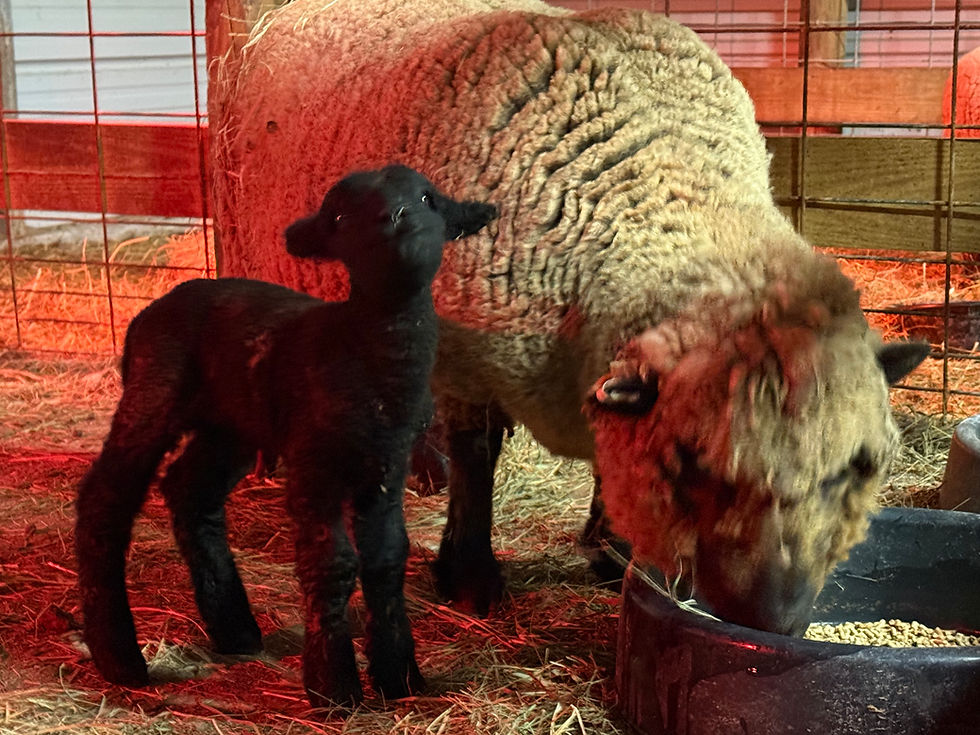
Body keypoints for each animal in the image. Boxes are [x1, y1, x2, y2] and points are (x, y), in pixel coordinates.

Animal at [74, 164, 498, 706]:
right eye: (339, 216)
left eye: (428, 199)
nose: (395, 218)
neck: (366, 351)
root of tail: (151, 310)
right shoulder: (312, 462)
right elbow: (332, 562)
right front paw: (333, 686)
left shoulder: (387, 466)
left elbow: (386, 559)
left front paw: (400, 678)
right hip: (153, 393)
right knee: (105, 499)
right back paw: (119, 657)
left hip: (229, 423)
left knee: (191, 491)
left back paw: (234, 628)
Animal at [209, 0, 930, 634]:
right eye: (692, 464)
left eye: (859, 466)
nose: (773, 621)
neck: (658, 175)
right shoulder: (466, 359)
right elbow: (477, 460)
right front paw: (470, 575)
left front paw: (609, 548)